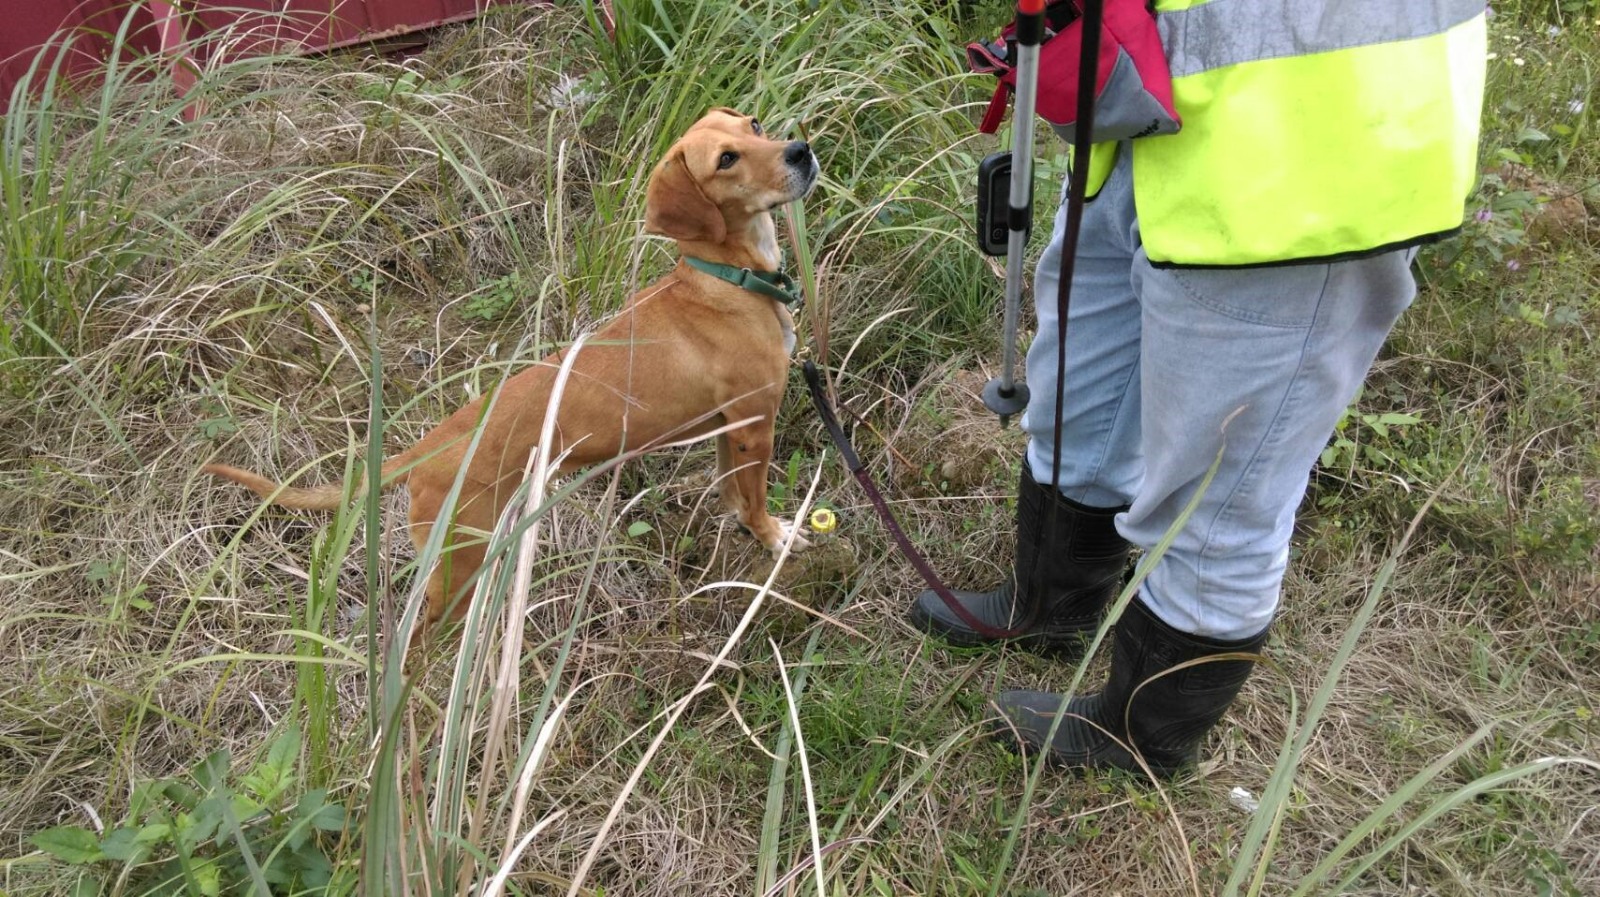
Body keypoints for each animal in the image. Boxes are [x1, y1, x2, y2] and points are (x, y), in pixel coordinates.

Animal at [204, 106, 819, 629]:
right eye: (726, 159)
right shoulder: (756, 425)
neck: (728, 281)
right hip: (459, 574)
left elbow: (732, 493)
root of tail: (424, 452)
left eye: (753, 126)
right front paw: (774, 538)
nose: (801, 150)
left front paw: (746, 528)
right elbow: (756, 500)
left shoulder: (729, 428)